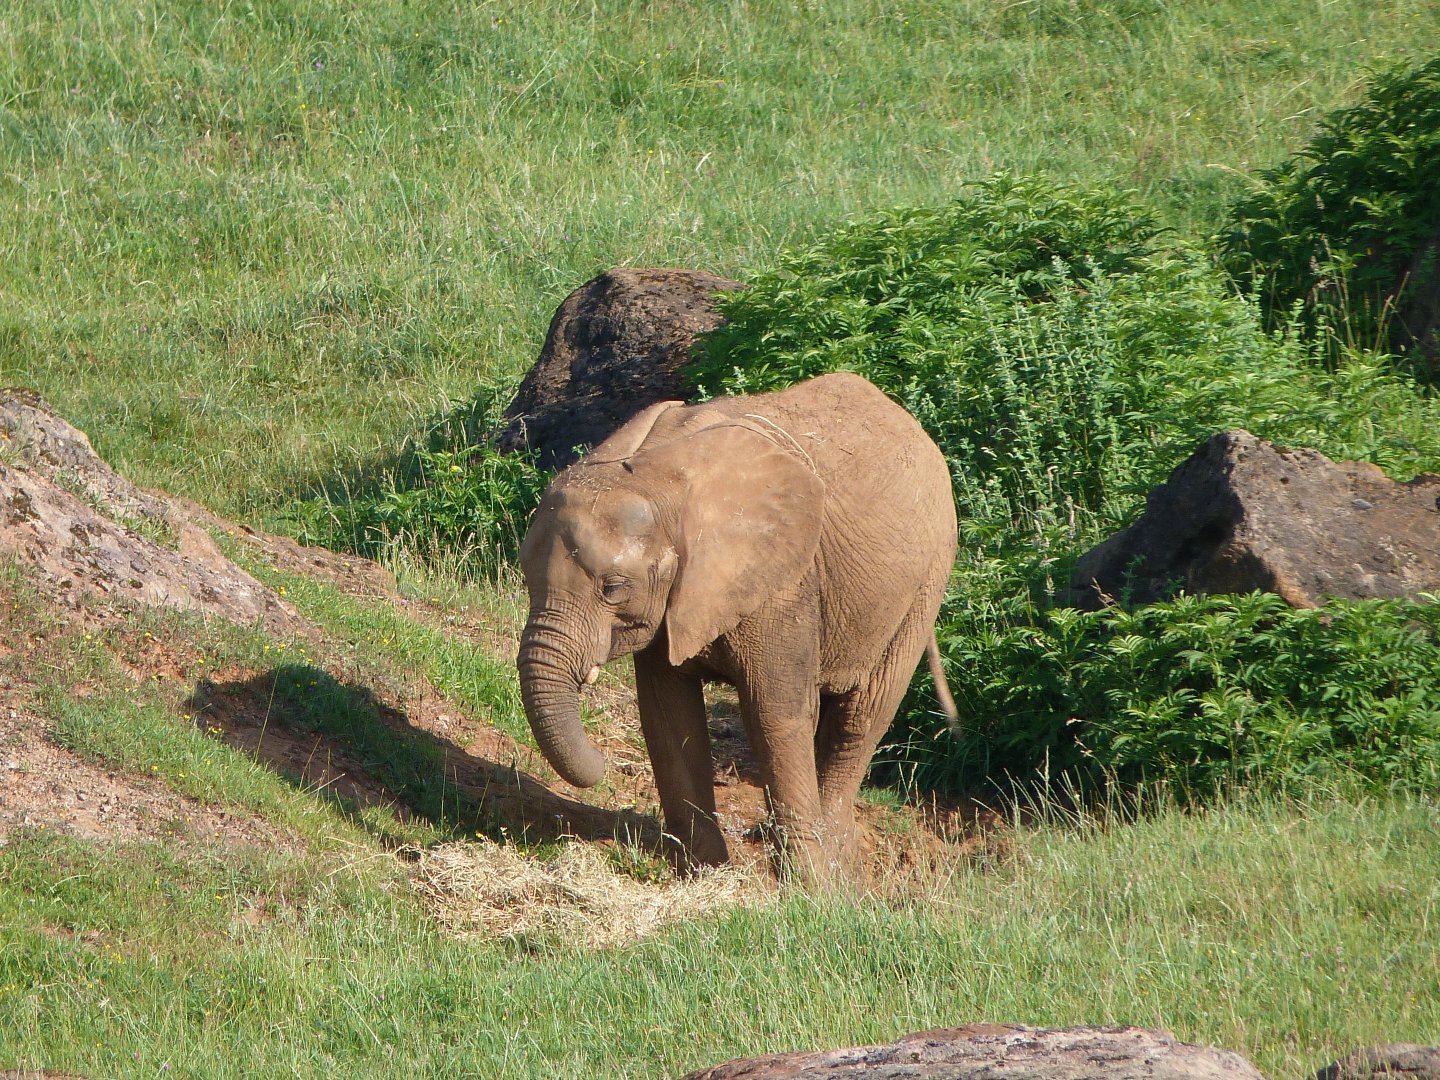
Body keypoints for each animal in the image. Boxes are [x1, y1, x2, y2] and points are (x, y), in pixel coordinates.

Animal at [516, 371, 958, 884]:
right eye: (526, 577)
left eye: (612, 589)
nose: (603, 764)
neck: (655, 475)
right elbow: (667, 715)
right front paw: (703, 873)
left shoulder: (783, 582)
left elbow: (775, 712)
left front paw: (810, 889)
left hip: (926, 582)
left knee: (860, 719)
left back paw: (837, 870)